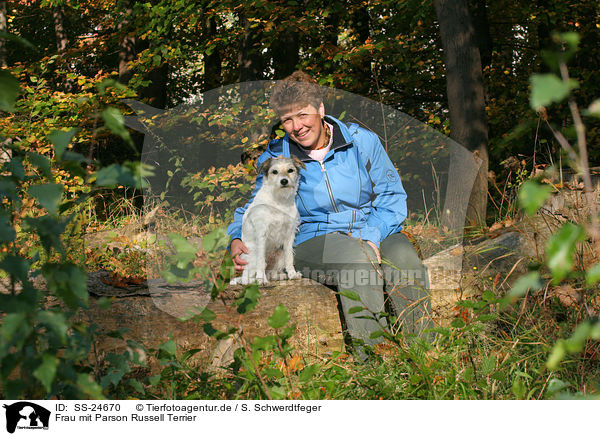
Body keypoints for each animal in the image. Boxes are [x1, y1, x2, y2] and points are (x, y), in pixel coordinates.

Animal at [230, 155, 304, 284]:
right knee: (246, 278)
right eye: (274, 172)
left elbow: (289, 258)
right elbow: (260, 261)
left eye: (290, 170)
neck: (279, 201)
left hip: (280, 253)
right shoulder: (262, 233)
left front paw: (292, 274)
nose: (284, 181)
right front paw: (261, 279)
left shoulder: (289, 234)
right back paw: (255, 280)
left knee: (271, 273)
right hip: (252, 257)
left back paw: (279, 276)